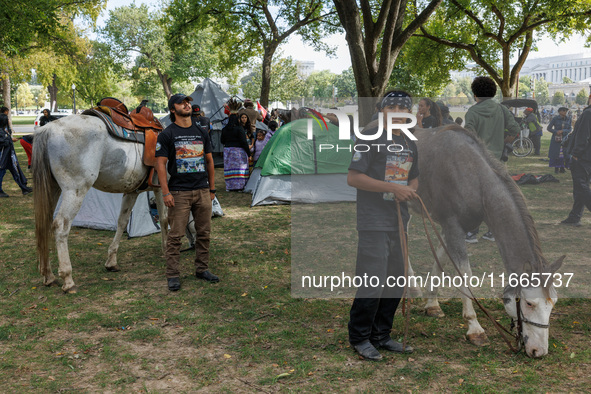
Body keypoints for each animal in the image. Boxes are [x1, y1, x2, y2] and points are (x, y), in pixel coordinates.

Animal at [32, 114, 168, 292]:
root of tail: (48, 129)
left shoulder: (131, 192)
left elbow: (122, 222)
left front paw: (111, 261)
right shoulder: (162, 187)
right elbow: (165, 219)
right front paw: (168, 248)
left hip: (53, 189)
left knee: (44, 224)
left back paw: (48, 275)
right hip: (75, 191)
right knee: (60, 226)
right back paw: (68, 279)